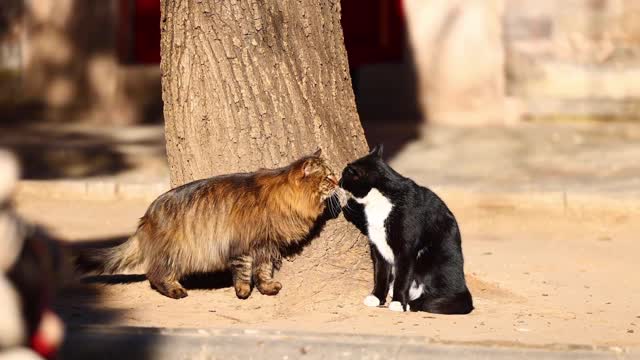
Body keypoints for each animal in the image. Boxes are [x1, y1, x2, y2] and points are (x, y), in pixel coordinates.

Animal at [79, 149, 340, 298]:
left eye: (334, 174)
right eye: (328, 177)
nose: (339, 182)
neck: (280, 197)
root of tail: (146, 217)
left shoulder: (265, 246)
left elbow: (263, 271)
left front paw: (267, 288)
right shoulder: (242, 246)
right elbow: (243, 271)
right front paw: (243, 292)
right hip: (176, 252)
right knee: (155, 273)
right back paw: (175, 291)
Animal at [342, 145, 472, 314]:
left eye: (344, 175)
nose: (338, 181)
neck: (380, 200)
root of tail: (463, 288)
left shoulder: (405, 250)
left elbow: (402, 279)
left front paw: (398, 303)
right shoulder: (378, 247)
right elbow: (380, 274)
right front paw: (376, 297)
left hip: (431, 259)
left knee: (435, 297)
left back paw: (410, 303)